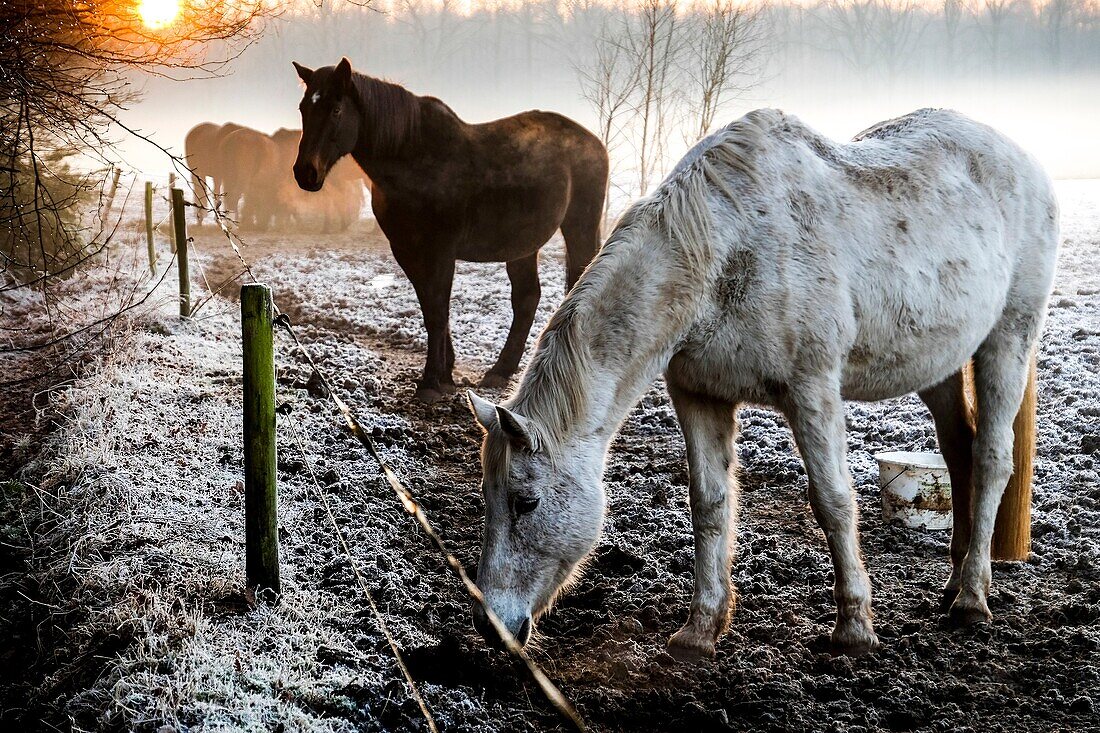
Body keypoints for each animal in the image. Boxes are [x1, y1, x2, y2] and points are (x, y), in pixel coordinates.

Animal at [290, 57, 611, 400]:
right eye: (304, 108)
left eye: (336, 110)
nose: (306, 173)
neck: (414, 158)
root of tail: (594, 143)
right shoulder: (406, 250)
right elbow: (430, 309)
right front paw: (445, 373)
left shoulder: (440, 251)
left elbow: (437, 311)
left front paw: (431, 382)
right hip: (523, 245)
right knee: (526, 298)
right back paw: (500, 372)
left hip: (579, 227)